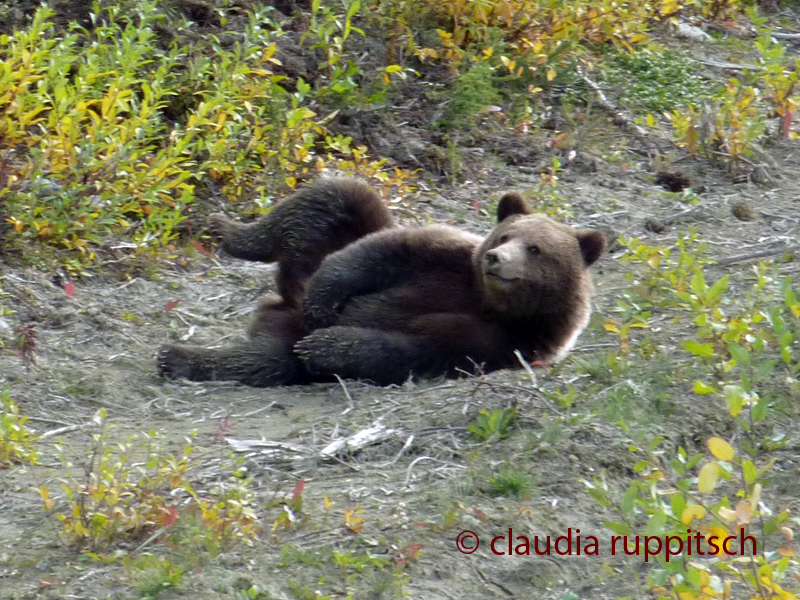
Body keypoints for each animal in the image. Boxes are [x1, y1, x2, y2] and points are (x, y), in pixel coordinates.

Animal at [158, 178, 608, 386]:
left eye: (536, 249)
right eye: (504, 236)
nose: (495, 259)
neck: (489, 302)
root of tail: (281, 301)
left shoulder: (501, 343)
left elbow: (408, 348)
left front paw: (327, 344)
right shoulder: (447, 258)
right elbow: (381, 253)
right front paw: (323, 304)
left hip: (282, 336)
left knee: (264, 360)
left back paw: (178, 356)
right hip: (326, 236)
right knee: (330, 198)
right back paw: (221, 228)